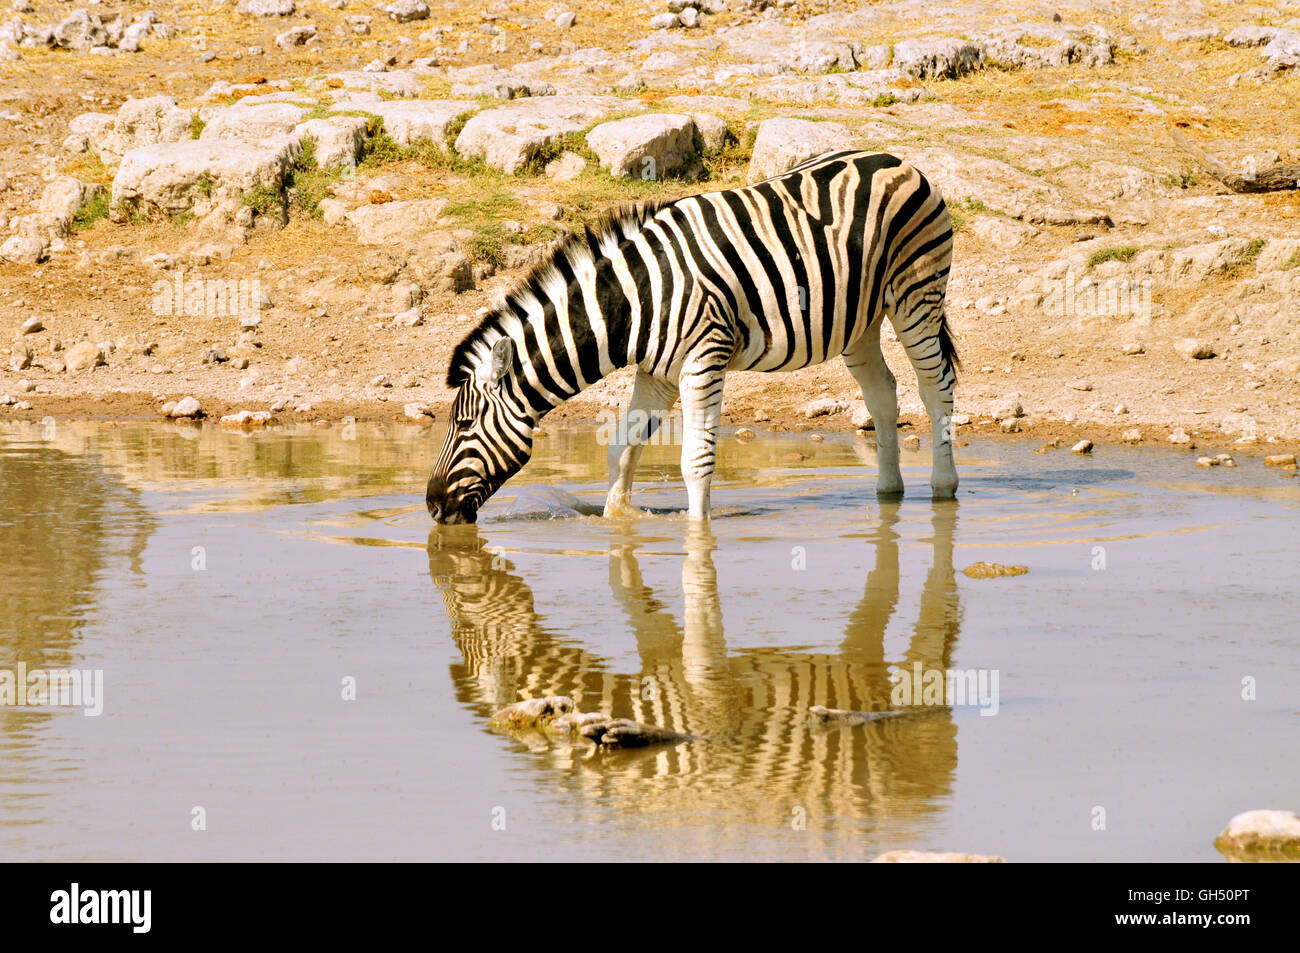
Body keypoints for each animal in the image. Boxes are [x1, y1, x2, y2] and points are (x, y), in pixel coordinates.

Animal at [425, 149, 959, 524]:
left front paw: (697, 536)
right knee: (882, 393)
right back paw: (889, 492)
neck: (634, 302)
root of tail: (899, 161)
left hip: (916, 295)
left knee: (936, 387)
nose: (430, 506)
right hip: (859, 320)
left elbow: (695, 462)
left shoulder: (704, 361)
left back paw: (944, 486)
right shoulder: (657, 373)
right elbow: (622, 448)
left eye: (466, 426)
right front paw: (616, 520)